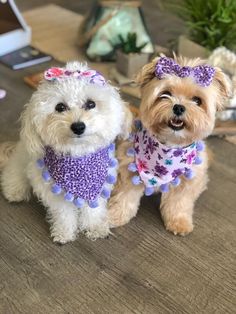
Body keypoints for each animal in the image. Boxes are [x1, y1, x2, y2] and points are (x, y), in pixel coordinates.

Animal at [0, 60, 132, 243]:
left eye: (91, 104)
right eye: (60, 107)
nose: (78, 126)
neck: (78, 157)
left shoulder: (99, 185)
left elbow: (93, 209)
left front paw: (94, 227)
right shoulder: (54, 192)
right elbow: (63, 212)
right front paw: (64, 232)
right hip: (22, 158)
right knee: (14, 172)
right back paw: (14, 190)